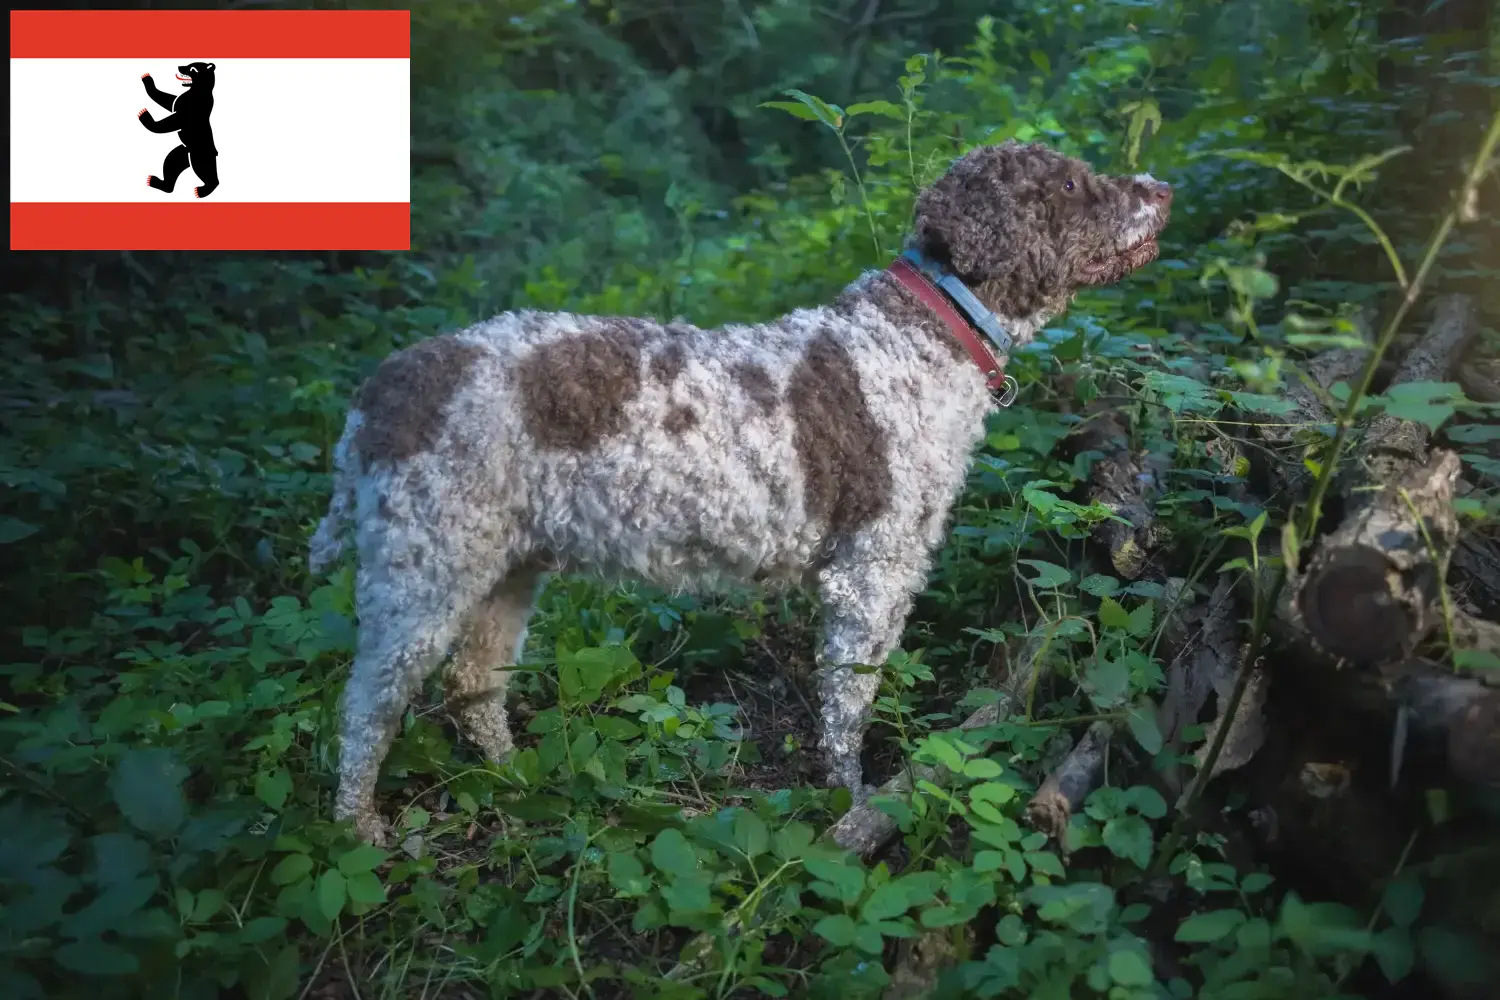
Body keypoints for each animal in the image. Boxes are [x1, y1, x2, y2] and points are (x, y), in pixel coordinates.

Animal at [307, 140, 1170, 845]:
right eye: (1071, 182)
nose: (1161, 187)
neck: (917, 336)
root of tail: (383, 388)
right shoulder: (871, 573)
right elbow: (849, 706)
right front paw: (853, 805)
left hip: (507, 569)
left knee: (472, 686)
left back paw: (515, 780)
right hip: (424, 572)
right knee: (366, 706)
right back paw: (357, 828)